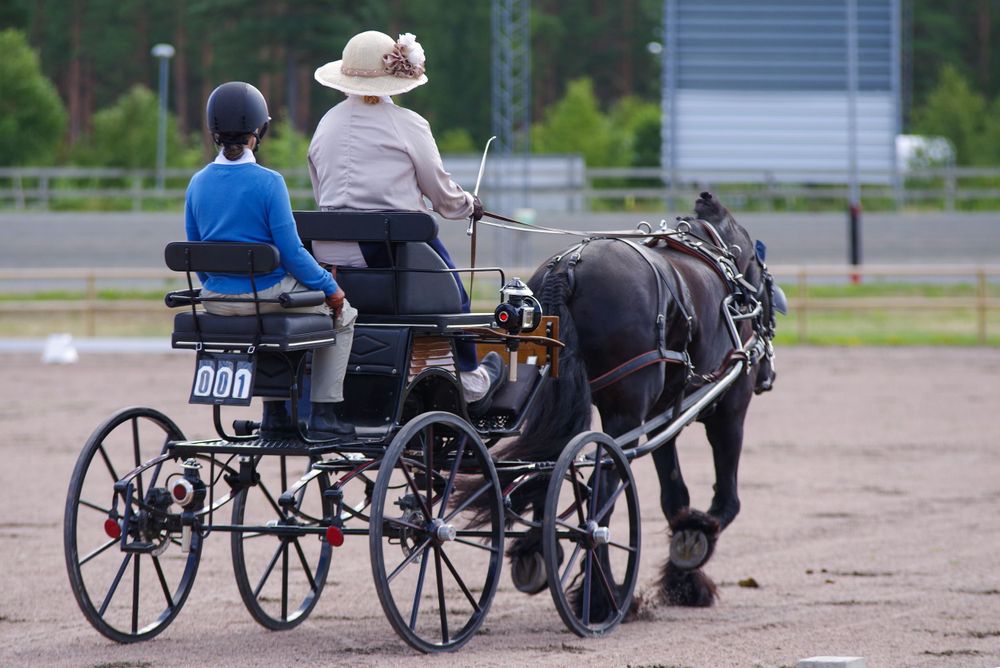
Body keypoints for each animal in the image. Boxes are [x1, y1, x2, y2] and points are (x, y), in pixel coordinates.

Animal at [495, 191, 781, 615]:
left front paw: (683, 580)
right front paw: (694, 542)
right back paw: (605, 595)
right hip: (626, 416)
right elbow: (726, 500)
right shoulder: (729, 411)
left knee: (549, 467)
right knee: (603, 493)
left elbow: (674, 497)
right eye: (767, 286)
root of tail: (568, 268)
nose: (766, 375)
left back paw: (537, 551)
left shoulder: (663, 418)